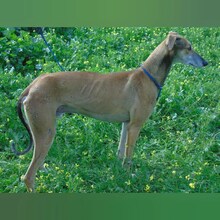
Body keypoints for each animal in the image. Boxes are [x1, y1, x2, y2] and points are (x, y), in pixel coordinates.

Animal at [11, 31, 208, 192]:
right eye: (189, 48)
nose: (206, 63)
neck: (148, 77)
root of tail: (32, 86)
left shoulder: (126, 124)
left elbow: (121, 152)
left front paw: (120, 173)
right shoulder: (135, 126)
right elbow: (129, 157)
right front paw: (129, 177)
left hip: (42, 131)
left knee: (37, 164)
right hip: (46, 132)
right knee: (28, 177)